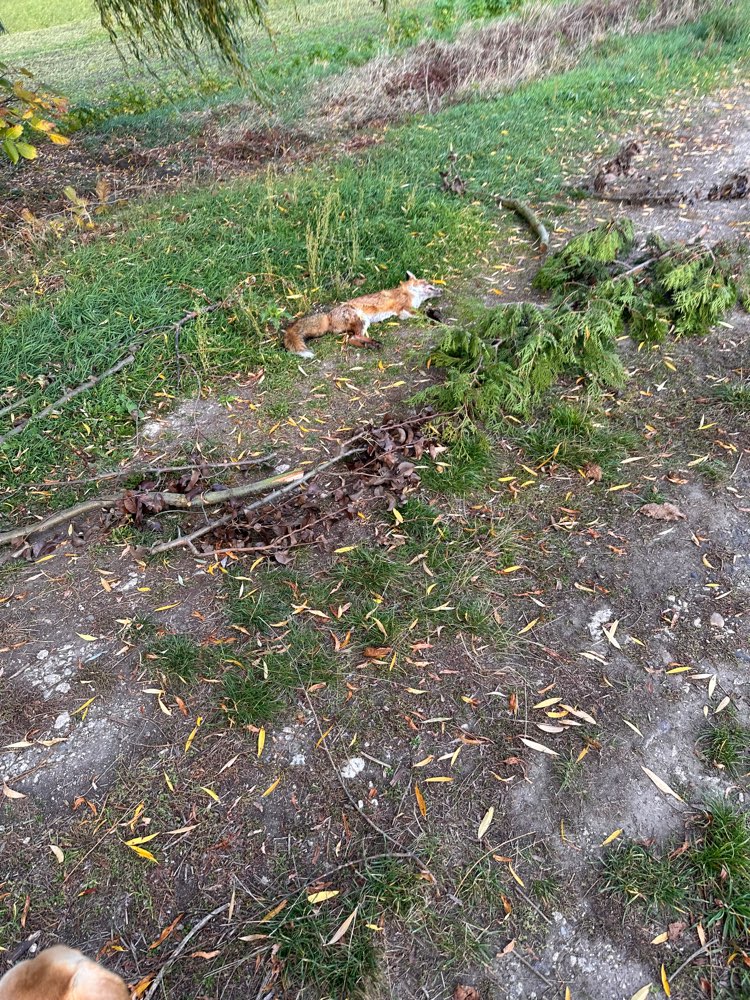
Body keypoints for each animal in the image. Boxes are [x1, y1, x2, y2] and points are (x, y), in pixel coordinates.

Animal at [283, 272, 442, 358]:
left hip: (362, 324)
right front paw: (435, 319)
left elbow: (425, 311)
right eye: (428, 283)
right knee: (353, 338)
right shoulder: (404, 308)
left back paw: (369, 345)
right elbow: (422, 314)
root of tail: (328, 316)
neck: (410, 293)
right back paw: (372, 343)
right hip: (363, 319)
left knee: (350, 339)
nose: (441, 289)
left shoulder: (405, 312)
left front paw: (434, 313)